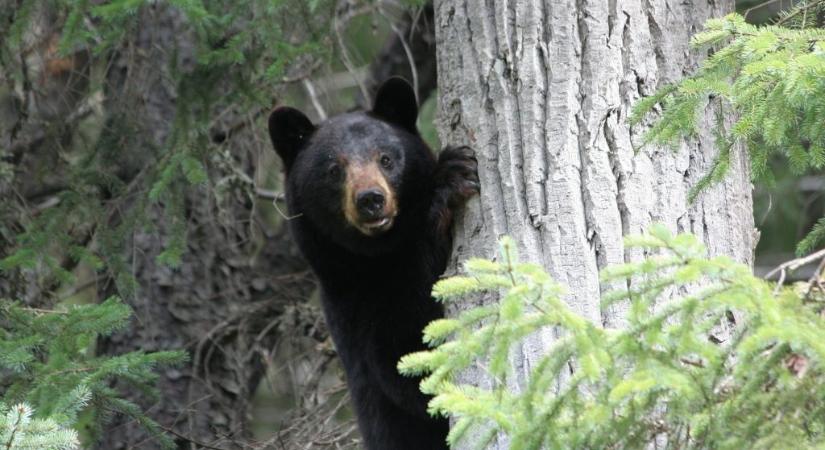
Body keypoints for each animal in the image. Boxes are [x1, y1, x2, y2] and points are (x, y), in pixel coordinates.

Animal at [268, 78, 480, 450]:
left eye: (386, 158)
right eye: (334, 169)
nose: (370, 199)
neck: (380, 255)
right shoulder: (355, 305)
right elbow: (409, 363)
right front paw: (450, 180)